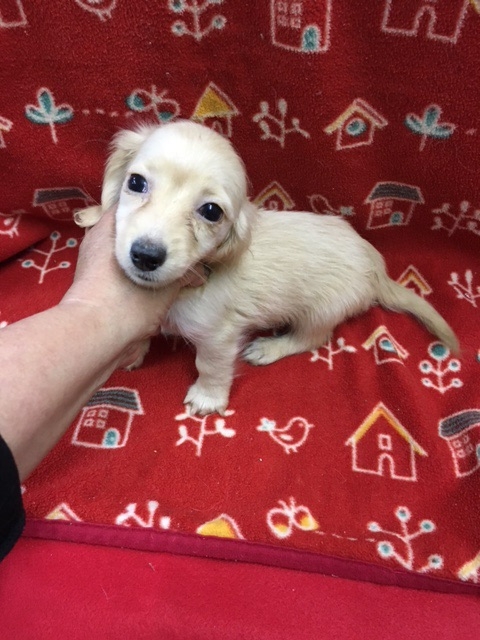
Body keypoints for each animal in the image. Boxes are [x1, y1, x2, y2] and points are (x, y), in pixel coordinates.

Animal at [75, 120, 459, 416]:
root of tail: (376, 264)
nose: (146, 255)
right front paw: (131, 351)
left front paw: (207, 398)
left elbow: (210, 366)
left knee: (313, 338)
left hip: (320, 311)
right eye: (136, 182)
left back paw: (269, 348)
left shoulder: (218, 337)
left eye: (211, 211)